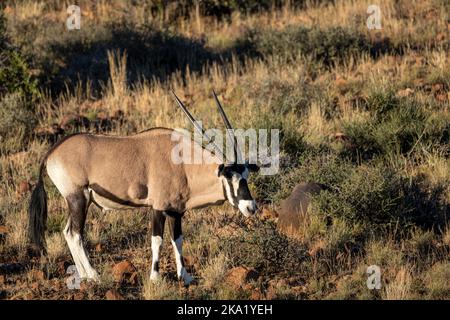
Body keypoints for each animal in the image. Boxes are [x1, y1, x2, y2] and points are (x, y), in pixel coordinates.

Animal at [28, 91, 258, 286]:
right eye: (229, 176)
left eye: (246, 176)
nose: (251, 208)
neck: (183, 164)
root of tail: (51, 153)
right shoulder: (158, 208)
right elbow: (157, 241)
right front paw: (155, 278)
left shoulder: (176, 211)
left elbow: (178, 241)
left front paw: (185, 277)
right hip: (78, 198)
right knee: (76, 234)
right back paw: (94, 276)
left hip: (79, 201)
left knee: (68, 232)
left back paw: (84, 275)